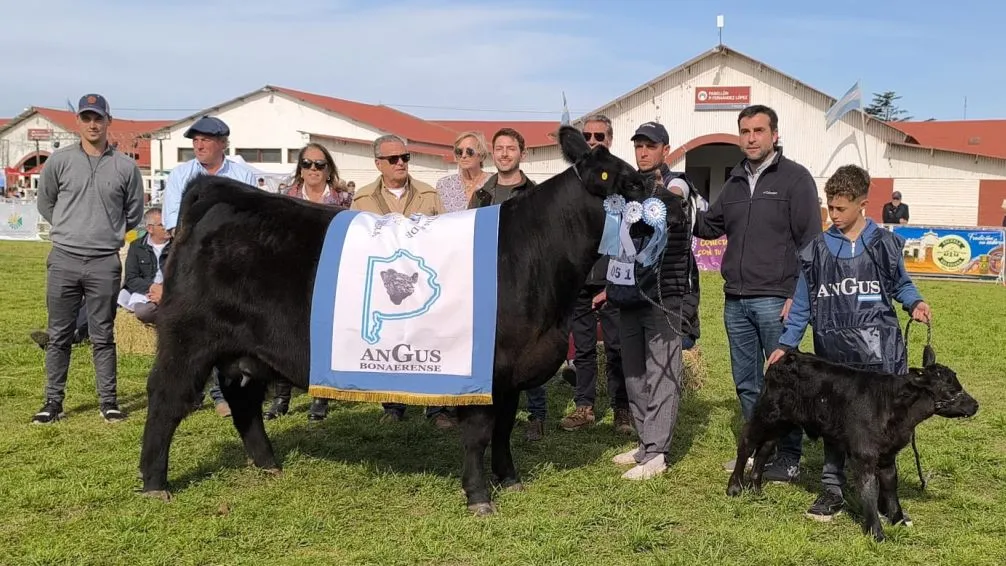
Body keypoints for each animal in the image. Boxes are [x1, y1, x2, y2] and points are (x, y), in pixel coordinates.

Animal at [137, 126, 647, 514]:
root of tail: (216, 191)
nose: (649, 185)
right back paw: (154, 483)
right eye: (613, 176)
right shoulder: (481, 369)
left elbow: (504, 430)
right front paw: (479, 496)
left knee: (243, 401)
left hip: (243, 349)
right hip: (188, 337)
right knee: (166, 401)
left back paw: (268, 464)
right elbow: (480, 435)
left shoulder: (511, 373)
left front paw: (510, 479)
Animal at [728, 349, 977, 538]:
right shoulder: (863, 455)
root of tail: (787, 356)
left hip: (784, 422)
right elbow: (869, 491)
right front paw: (877, 534)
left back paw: (756, 489)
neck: (892, 407)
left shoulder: (887, 457)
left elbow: (890, 489)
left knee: (765, 448)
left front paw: (898, 521)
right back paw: (735, 487)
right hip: (766, 413)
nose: (975, 405)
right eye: (951, 390)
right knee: (747, 442)